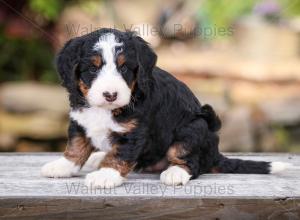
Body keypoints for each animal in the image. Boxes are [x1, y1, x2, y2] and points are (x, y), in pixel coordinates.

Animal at [41, 28, 290, 188]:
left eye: (124, 68)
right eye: (92, 69)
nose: (110, 95)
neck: (105, 109)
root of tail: (215, 154)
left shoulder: (134, 132)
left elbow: (120, 154)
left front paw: (106, 175)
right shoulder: (79, 121)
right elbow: (76, 146)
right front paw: (63, 166)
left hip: (195, 127)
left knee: (191, 162)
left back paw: (174, 172)